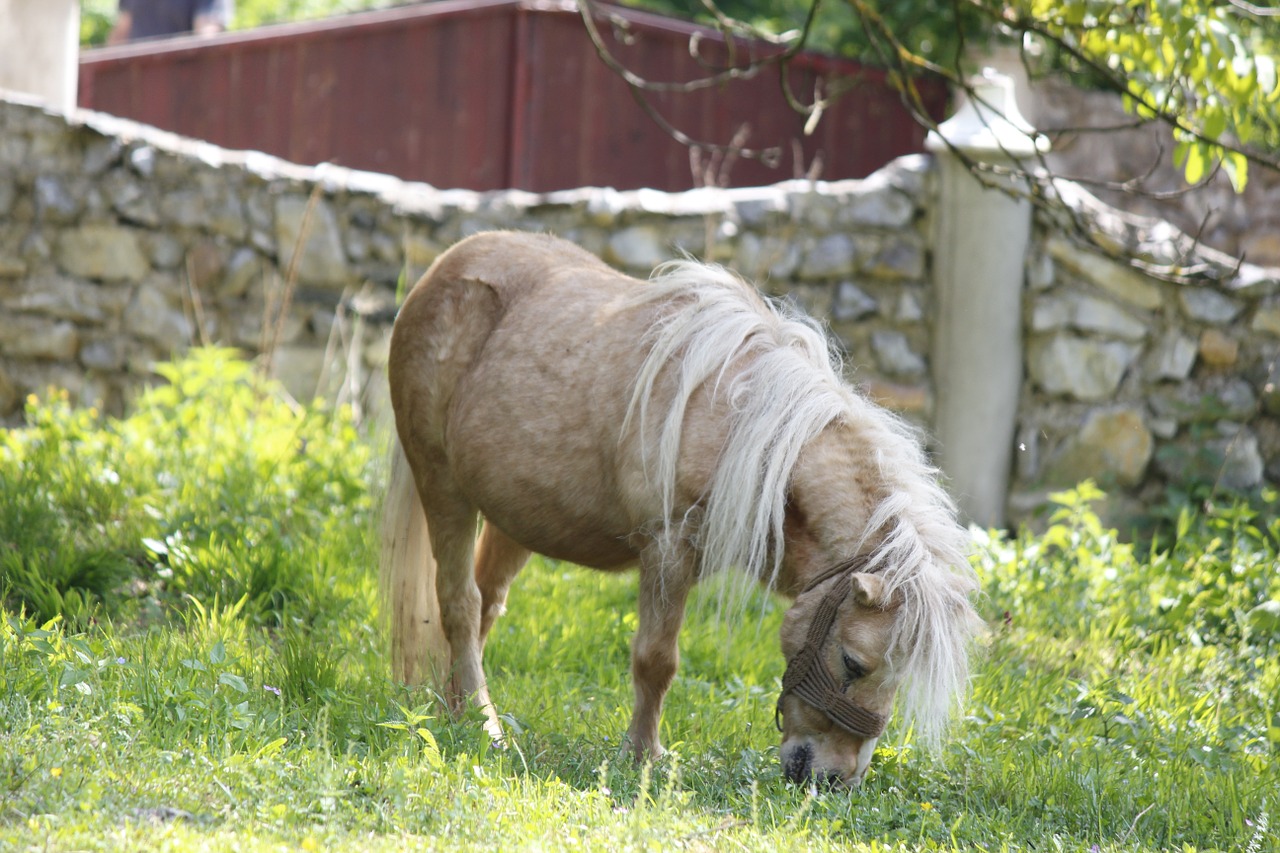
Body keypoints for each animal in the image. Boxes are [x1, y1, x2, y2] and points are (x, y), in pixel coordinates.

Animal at [378, 227, 977, 783]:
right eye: (854, 663)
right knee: (459, 603)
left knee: (486, 604)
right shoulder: (667, 552)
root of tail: (445, 267)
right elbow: (656, 661)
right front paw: (643, 756)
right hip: (443, 487)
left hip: (516, 518)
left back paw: (459, 713)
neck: (743, 428)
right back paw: (485, 726)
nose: (834, 780)